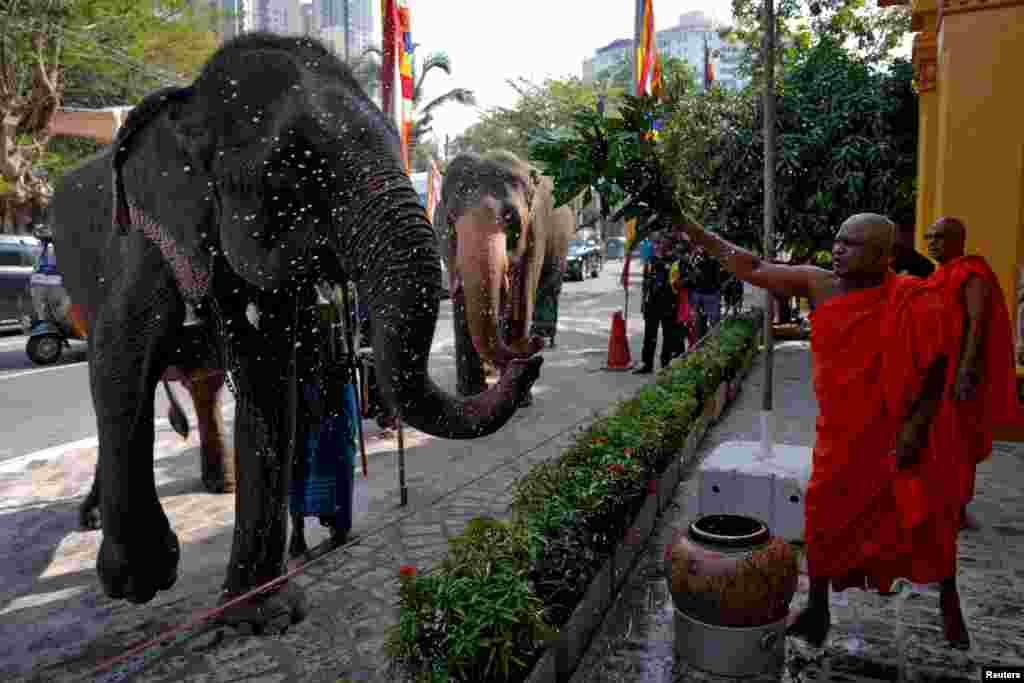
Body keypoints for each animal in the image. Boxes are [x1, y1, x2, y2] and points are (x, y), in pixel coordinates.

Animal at [50, 31, 540, 630]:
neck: (189, 104)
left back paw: (218, 485)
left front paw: (260, 615)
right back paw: (99, 520)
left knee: (203, 385)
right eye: (289, 172)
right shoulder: (144, 241)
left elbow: (266, 383)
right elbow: (120, 357)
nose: (529, 356)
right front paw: (143, 578)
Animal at [432, 150, 577, 401]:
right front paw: (470, 395)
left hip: (562, 235)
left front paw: (521, 397)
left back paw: (545, 338)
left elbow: (523, 291)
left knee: (549, 285)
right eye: (450, 218)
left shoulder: (535, 229)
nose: (534, 343)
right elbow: (461, 299)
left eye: (510, 217)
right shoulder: (445, 242)